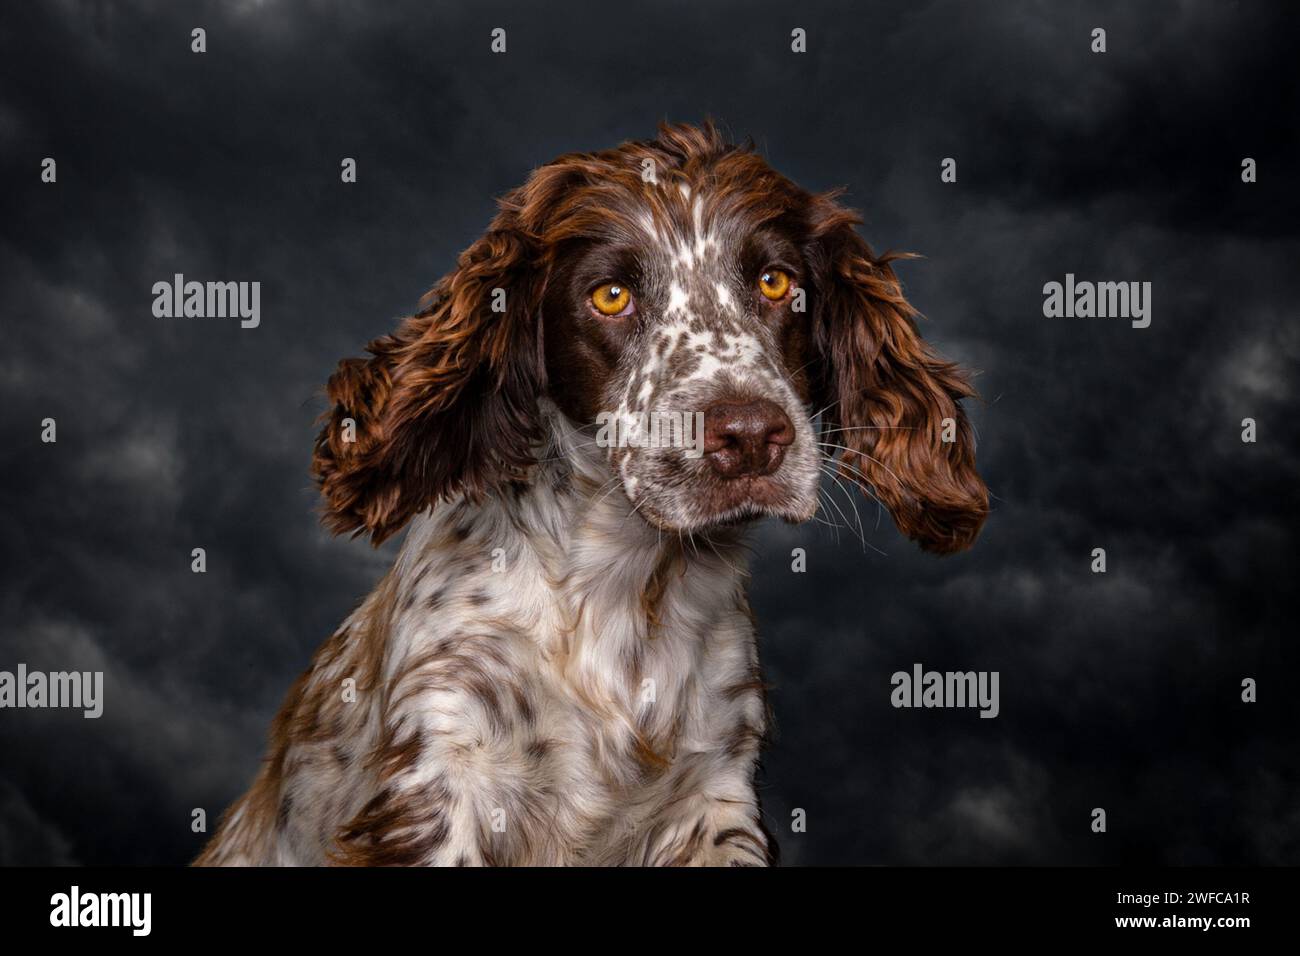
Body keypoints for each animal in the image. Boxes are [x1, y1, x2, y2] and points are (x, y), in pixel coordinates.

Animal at [195, 119, 982, 868]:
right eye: (611, 295)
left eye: (775, 282)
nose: (752, 436)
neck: (626, 590)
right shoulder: (442, 769)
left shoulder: (715, 794)